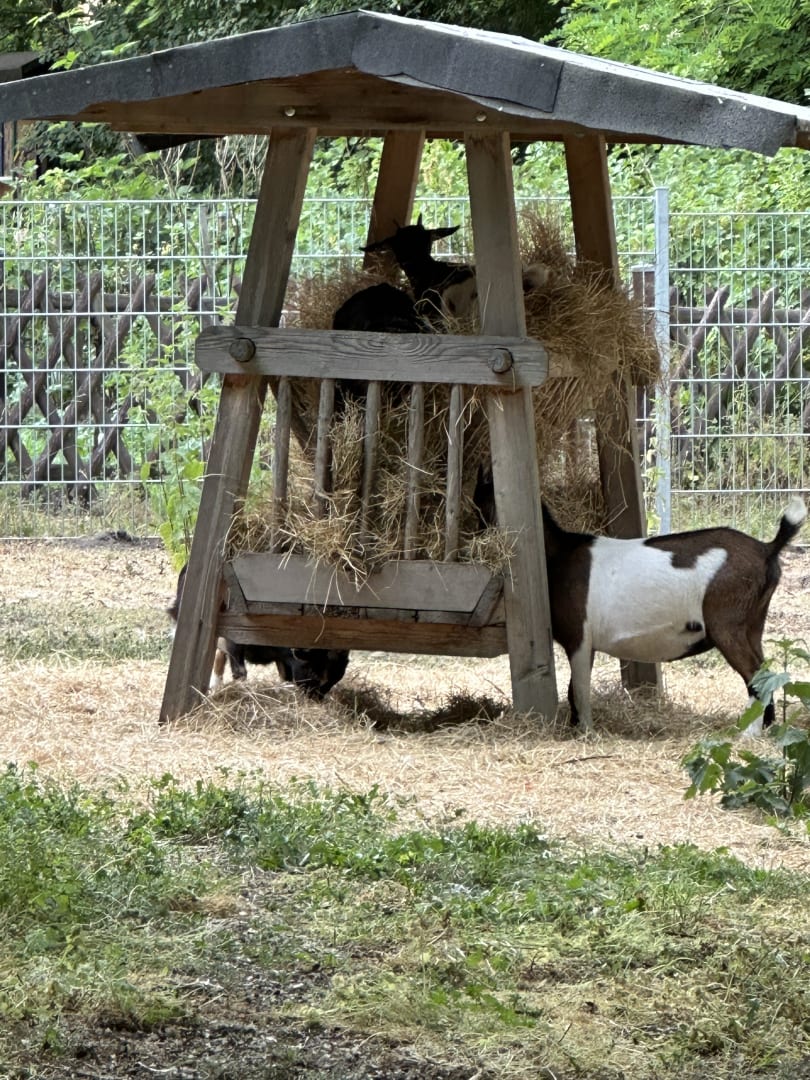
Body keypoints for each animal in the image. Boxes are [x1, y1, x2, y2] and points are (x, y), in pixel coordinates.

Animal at [168, 565, 349, 700]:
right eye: (313, 672)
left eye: (336, 678)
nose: (317, 698)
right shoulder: (236, 639)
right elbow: (240, 671)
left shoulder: (281, 655)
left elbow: (284, 674)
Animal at [541, 498, 807, 732]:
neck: (560, 553)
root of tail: (767, 548)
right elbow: (573, 690)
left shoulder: (579, 638)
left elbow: (579, 689)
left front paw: (586, 732)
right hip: (753, 624)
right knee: (765, 671)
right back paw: (767, 727)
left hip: (727, 625)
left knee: (754, 675)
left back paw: (747, 733)